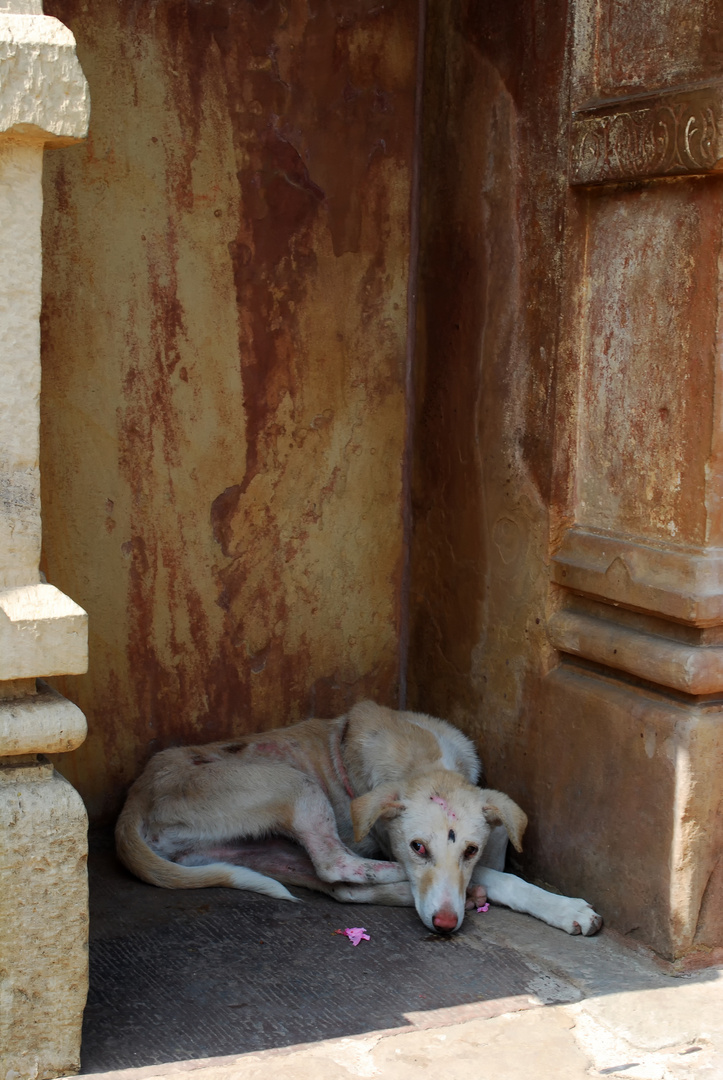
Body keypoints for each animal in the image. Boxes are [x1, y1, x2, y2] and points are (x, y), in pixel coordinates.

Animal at [117, 699, 605, 937]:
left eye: (470, 848)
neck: (426, 757)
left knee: (340, 887)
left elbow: (500, 847)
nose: (445, 924)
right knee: (336, 863)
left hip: (259, 851)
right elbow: (502, 877)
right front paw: (563, 907)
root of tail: (136, 795)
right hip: (291, 783)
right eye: (417, 847)